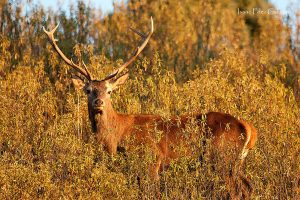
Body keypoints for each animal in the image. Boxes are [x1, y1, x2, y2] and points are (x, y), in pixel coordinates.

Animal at [42, 18, 258, 182]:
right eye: (88, 90)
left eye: (109, 91)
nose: (99, 102)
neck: (115, 139)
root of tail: (247, 127)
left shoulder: (153, 160)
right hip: (235, 161)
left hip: (222, 156)